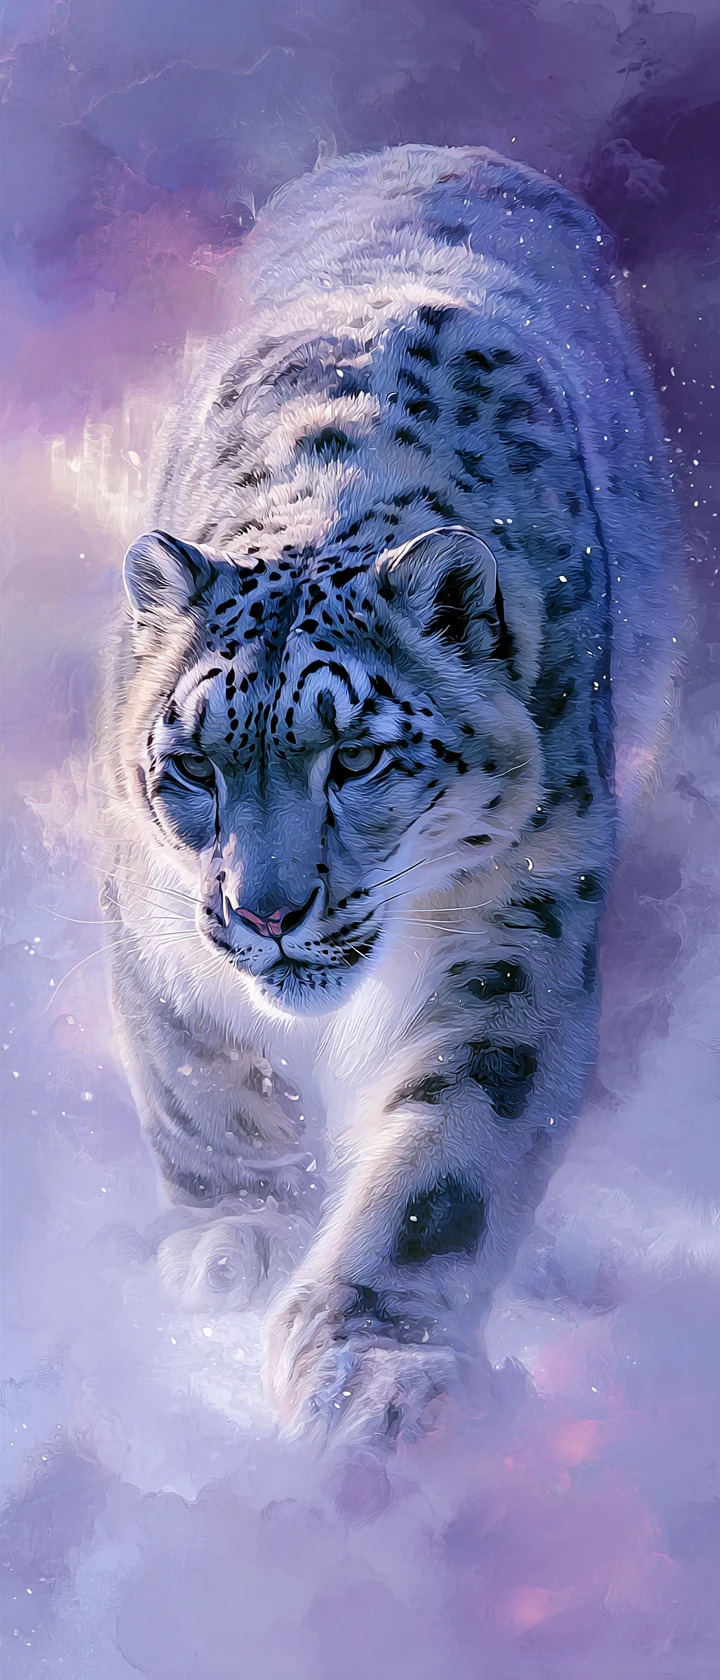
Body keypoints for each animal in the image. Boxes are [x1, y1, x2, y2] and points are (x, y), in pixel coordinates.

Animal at [98, 143, 683, 1447]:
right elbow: (197, 1072)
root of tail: (435, 147)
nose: (266, 912)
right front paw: (239, 1235)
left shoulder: (518, 923)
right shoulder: (148, 907)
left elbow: (448, 1156)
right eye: (195, 767)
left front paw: (373, 1371)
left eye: (357, 757)